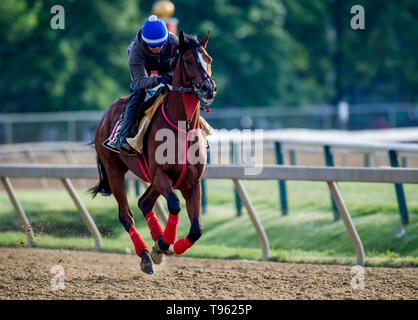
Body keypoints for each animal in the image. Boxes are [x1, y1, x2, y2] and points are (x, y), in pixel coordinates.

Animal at [90, 30, 217, 276]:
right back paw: (146, 256)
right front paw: (164, 244)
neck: (182, 126)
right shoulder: (160, 175)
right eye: (188, 60)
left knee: (144, 203)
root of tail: (104, 117)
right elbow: (175, 205)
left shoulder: (192, 182)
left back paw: (156, 243)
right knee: (126, 215)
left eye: (209, 58)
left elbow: (196, 230)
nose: (208, 88)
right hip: (114, 171)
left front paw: (168, 245)